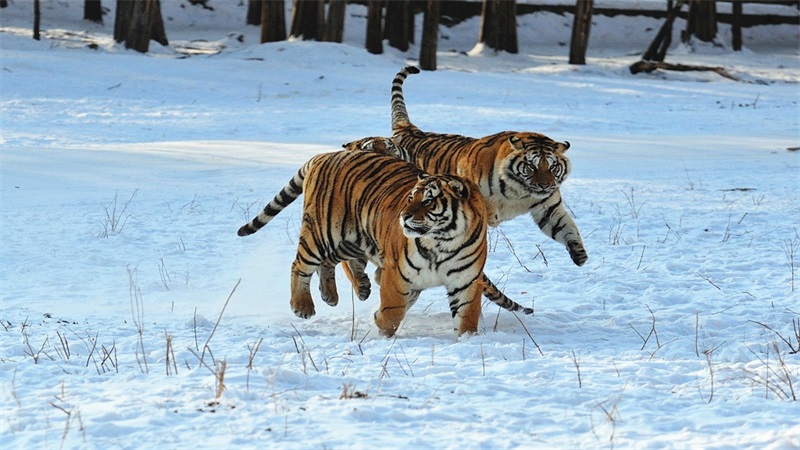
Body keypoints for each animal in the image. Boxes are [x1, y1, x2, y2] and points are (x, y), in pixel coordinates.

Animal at [236, 151, 494, 338]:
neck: (443, 241)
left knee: (330, 262)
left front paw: (467, 339)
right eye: (411, 197)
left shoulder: (466, 280)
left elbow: (467, 315)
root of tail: (323, 155)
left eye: (429, 201)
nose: (404, 217)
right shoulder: (397, 274)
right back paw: (303, 306)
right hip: (320, 233)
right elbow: (393, 310)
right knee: (300, 265)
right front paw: (381, 324)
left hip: (354, 240)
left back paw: (334, 294)